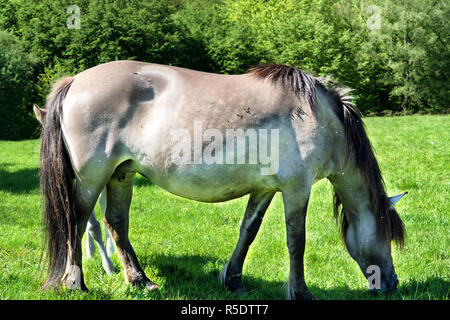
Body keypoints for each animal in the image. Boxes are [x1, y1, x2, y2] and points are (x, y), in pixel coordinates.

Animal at [34, 61, 404, 298]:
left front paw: (233, 280)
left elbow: (248, 231)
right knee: (78, 220)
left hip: (121, 175)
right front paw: (300, 292)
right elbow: (296, 241)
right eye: (388, 235)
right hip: (91, 178)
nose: (392, 284)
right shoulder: (296, 189)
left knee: (115, 224)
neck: (317, 116)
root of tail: (75, 81)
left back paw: (140, 281)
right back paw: (75, 283)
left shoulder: (265, 189)